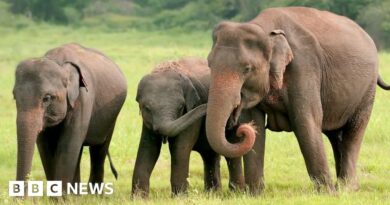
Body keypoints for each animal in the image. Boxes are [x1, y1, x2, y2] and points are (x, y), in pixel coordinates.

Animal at [12, 43, 126, 187]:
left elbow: (67, 147)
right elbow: (45, 149)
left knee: (99, 149)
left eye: (47, 98)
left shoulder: (82, 99)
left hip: (111, 119)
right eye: (15, 97)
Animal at [131, 57, 250, 197]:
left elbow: (180, 147)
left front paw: (179, 197)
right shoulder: (147, 121)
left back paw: (236, 193)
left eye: (181, 107)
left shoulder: (192, 109)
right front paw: (139, 198)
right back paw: (212, 194)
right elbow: (148, 147)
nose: (208, 105)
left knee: (231, 151)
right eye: (147, 108)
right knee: (210, 155)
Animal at [206, 6, 388, 192]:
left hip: (367, 91)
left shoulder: (304, 66)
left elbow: (305, 121)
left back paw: (346, 188)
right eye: (209, 64)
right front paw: (255, 194)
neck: (264, 27)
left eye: (247, 68)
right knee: (336, 136)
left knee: (354, 132)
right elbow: (254, 121)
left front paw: (327, 193)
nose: (236, 127)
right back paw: (342, 186)